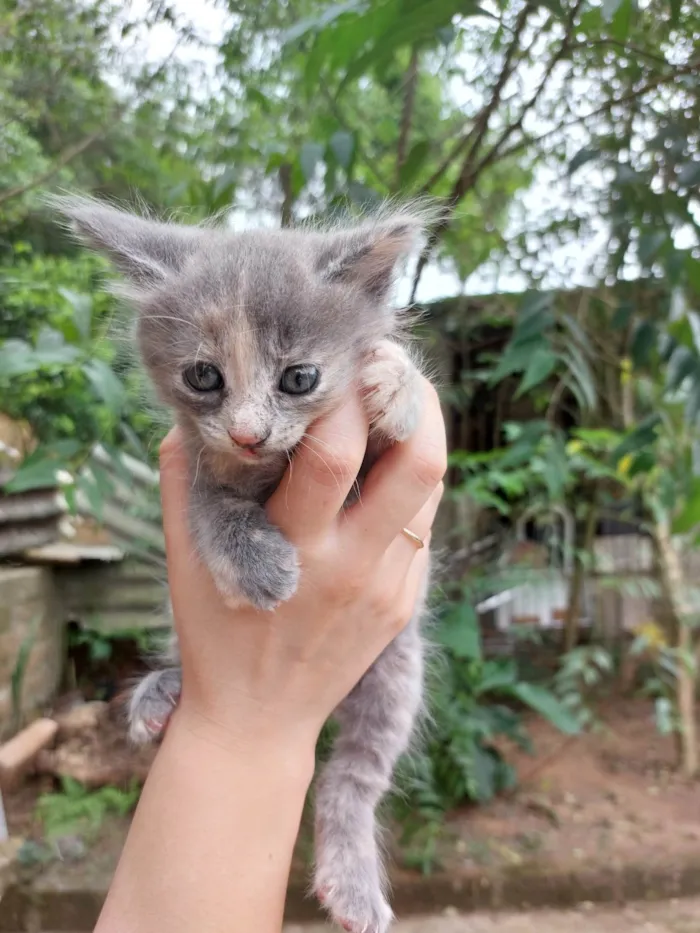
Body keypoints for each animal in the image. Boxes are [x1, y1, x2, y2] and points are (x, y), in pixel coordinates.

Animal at [56, 197, 432, 932]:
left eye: (299, 378)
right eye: (203, 375)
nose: (248, 433)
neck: (271, 466)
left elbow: (399, 411)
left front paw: (395, 381)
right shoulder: (201, 467)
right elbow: (215, 511)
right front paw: (258, 564)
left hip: (397, 668)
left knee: (355, 775)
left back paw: (350, 877)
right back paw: (160, 693)